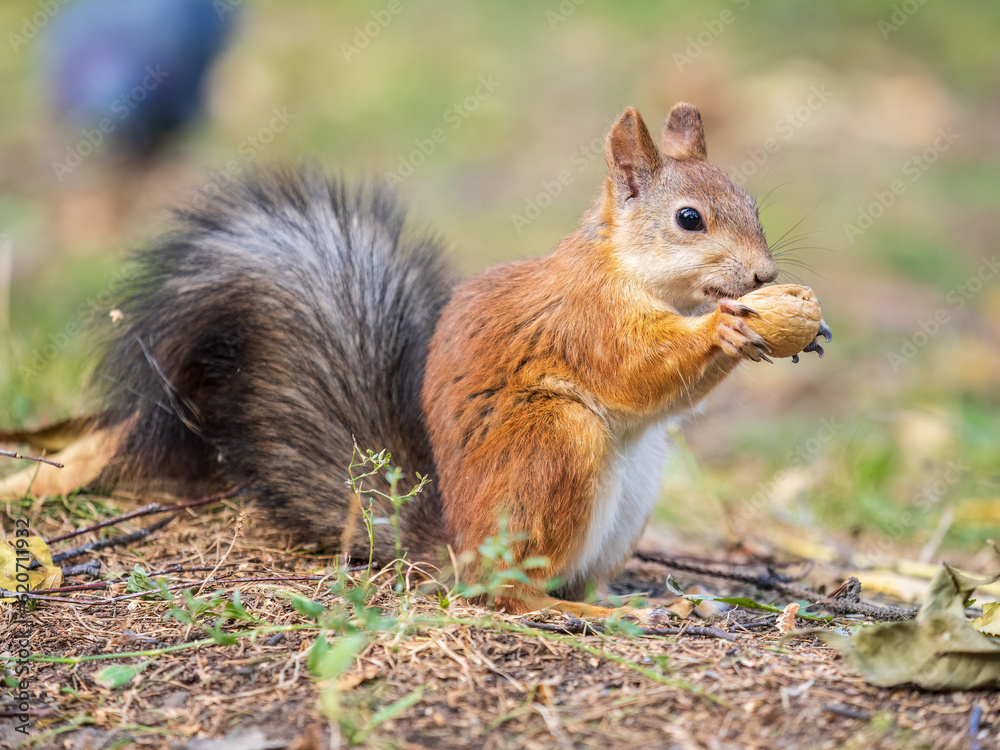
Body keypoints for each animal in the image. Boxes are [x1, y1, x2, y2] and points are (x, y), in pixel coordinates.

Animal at [2, 103, 830, 615]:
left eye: (752, 205)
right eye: (689, 219)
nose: (763, 275)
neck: (625, 268)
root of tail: (455, 547)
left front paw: (796, 328)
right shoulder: (586, 323)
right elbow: (635, 374)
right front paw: (730, 328)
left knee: (574, 578)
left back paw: (641, 601)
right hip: (554, 446)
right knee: (503, 590)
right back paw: (564, 612)